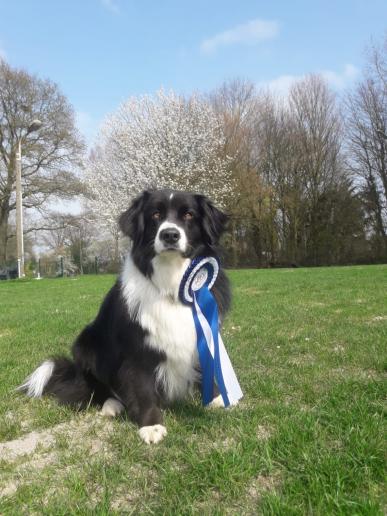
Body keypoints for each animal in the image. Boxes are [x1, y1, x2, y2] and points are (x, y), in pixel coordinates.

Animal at [19, 189, 230, 444]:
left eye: (188, 214)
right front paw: (151, 425)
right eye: (155, 214)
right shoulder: (136, 351)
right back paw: (112, 405)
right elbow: (143, 387)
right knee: (97, 387)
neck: (171, 284)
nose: (170, 235)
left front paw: (217, 398)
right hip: (87, 343)